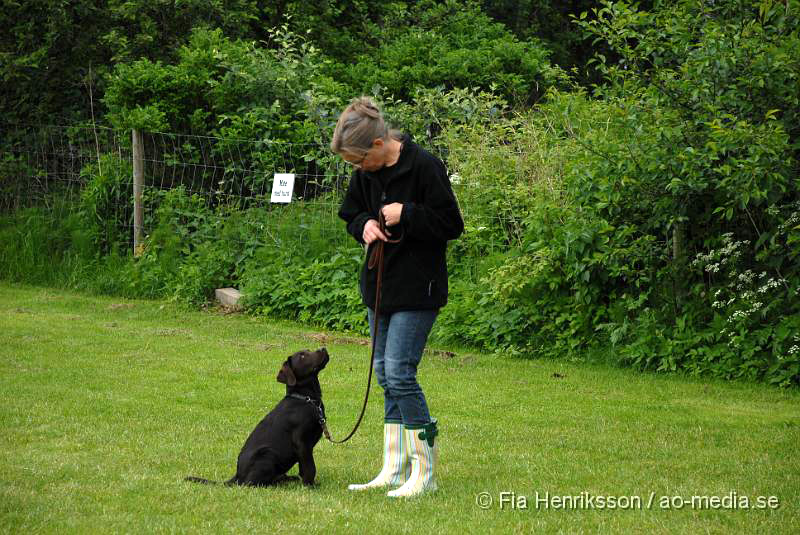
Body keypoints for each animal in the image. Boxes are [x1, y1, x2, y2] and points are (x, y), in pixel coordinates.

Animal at [185, 350, 328, 488]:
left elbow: (304, 468)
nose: (323, 349)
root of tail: (237, 476)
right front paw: (310, 486)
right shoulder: (301, 442)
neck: (306, 399)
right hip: (267, 454)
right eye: (302, 356)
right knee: (251, 484)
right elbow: (310, 468)